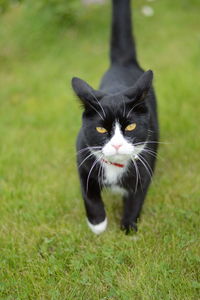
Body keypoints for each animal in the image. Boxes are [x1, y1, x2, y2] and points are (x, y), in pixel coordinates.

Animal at [71, 0, 159, 234]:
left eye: (130, 127)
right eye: (101, 129)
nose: (118, 145)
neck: (115, 167)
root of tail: (123, 63)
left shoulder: (145, 165)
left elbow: (136, 198)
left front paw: (128, 227)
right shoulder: (83, 159)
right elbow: (89, 194)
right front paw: (98, 224)